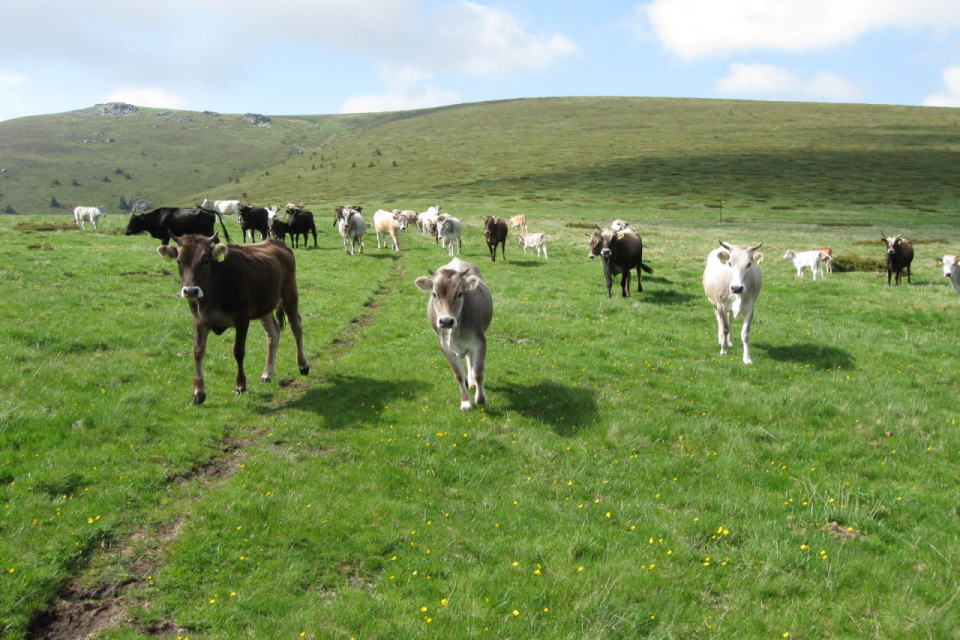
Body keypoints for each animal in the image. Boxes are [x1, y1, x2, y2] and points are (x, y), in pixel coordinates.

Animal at [157, 235, 308, 404]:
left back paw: (303, 365)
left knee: (296, 327)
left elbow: (238, 351)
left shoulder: (242, 318)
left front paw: (240, 385)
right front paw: (198, 392)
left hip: (290, 295)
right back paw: (267, 373)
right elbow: (198, 352)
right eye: (179, 261)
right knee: (273, 333)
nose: (190, 291)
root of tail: (277, 242)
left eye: (205, 261)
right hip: (265, 305)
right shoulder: (198, 320)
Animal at [414, 258, 496, 410]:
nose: (446, 321)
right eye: (434, 294)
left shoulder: (480, 341)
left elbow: (478, 372)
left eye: (460, 294)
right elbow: (458, 374)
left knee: (470, 359)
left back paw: (471, 382)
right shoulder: (443, 344)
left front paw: (481, 399)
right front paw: (465, 402)